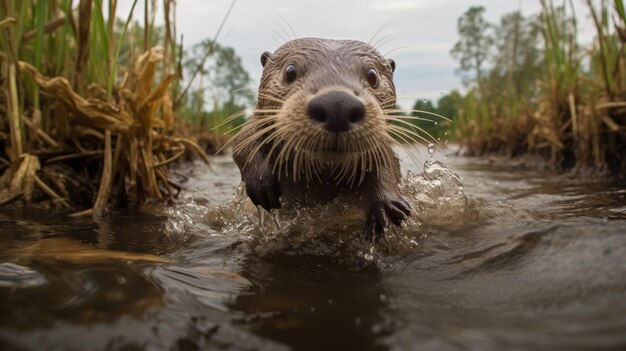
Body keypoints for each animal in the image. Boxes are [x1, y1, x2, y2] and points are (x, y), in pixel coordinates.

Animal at [232, 38, 412, 239]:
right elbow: (242, 141)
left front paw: (385, 206)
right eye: (290, 71)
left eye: (373, 75)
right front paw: (261, 183)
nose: (337, 104)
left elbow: (388, 161)